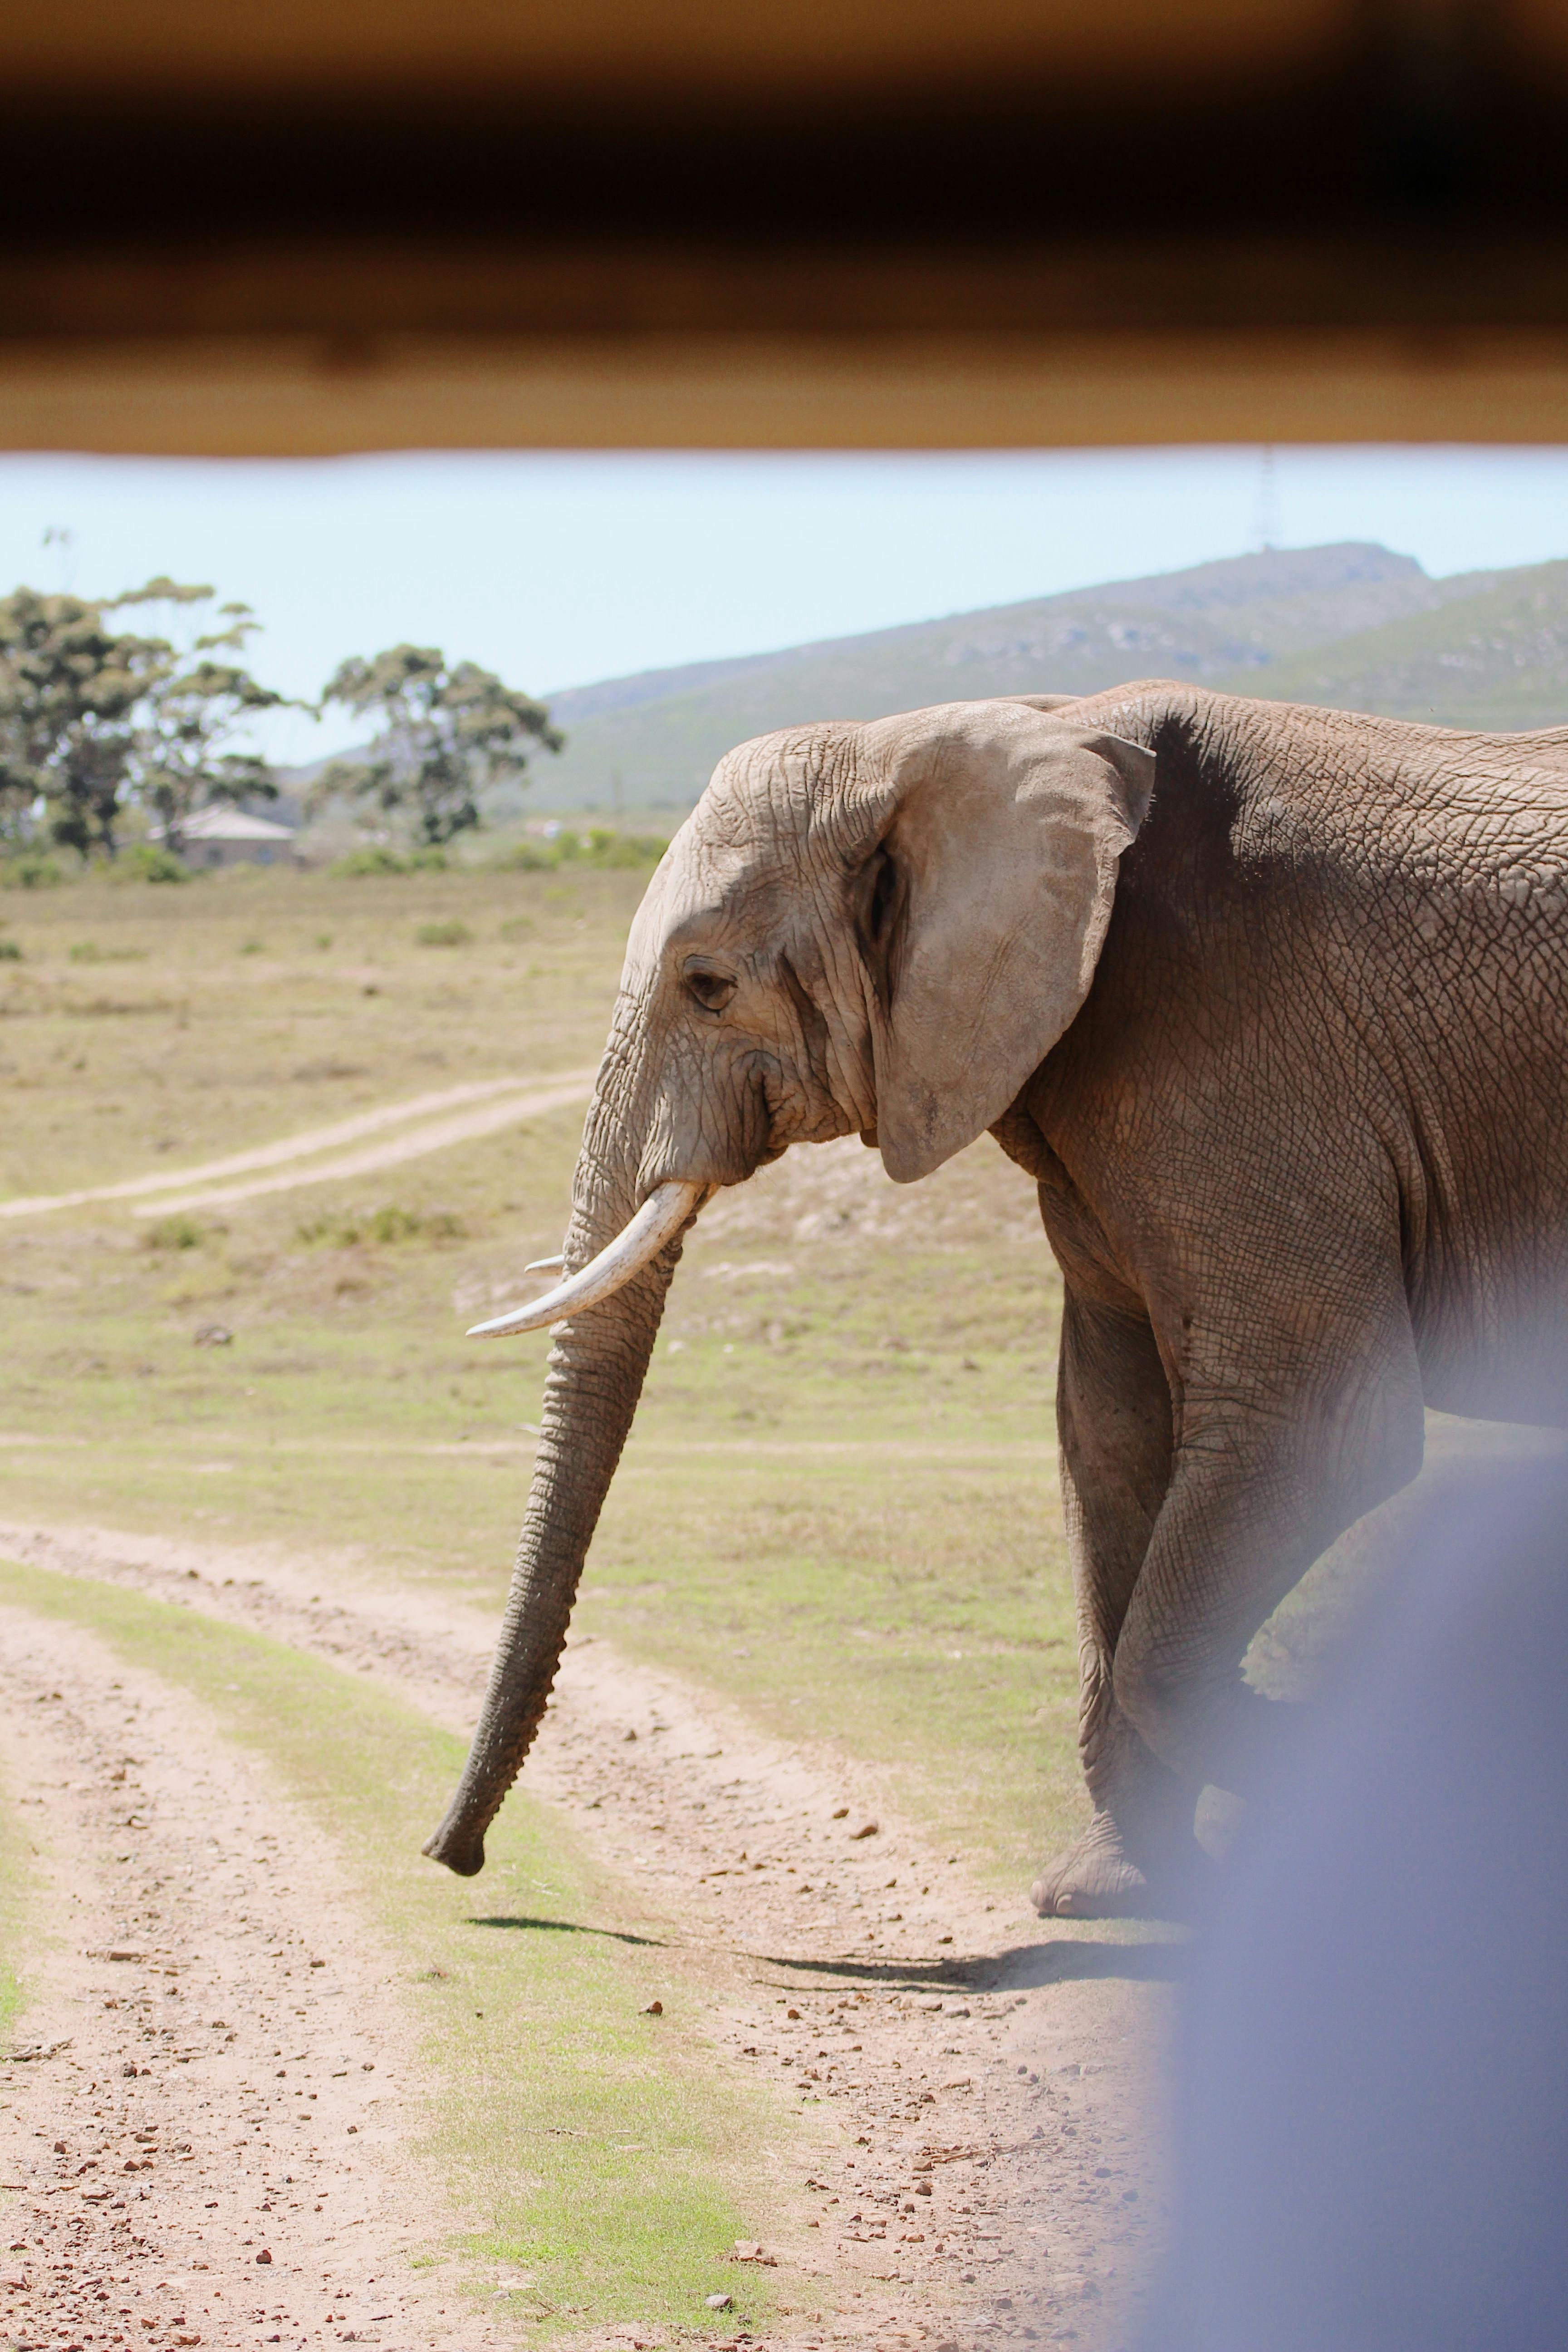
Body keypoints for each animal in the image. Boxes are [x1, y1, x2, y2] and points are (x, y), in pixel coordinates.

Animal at [421, 686, 1568, 1919]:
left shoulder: (1249, 1053)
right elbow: (1107, 1431)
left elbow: (1321, 1430)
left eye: (708, 985)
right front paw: (1102, 1893)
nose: (454, 1859)